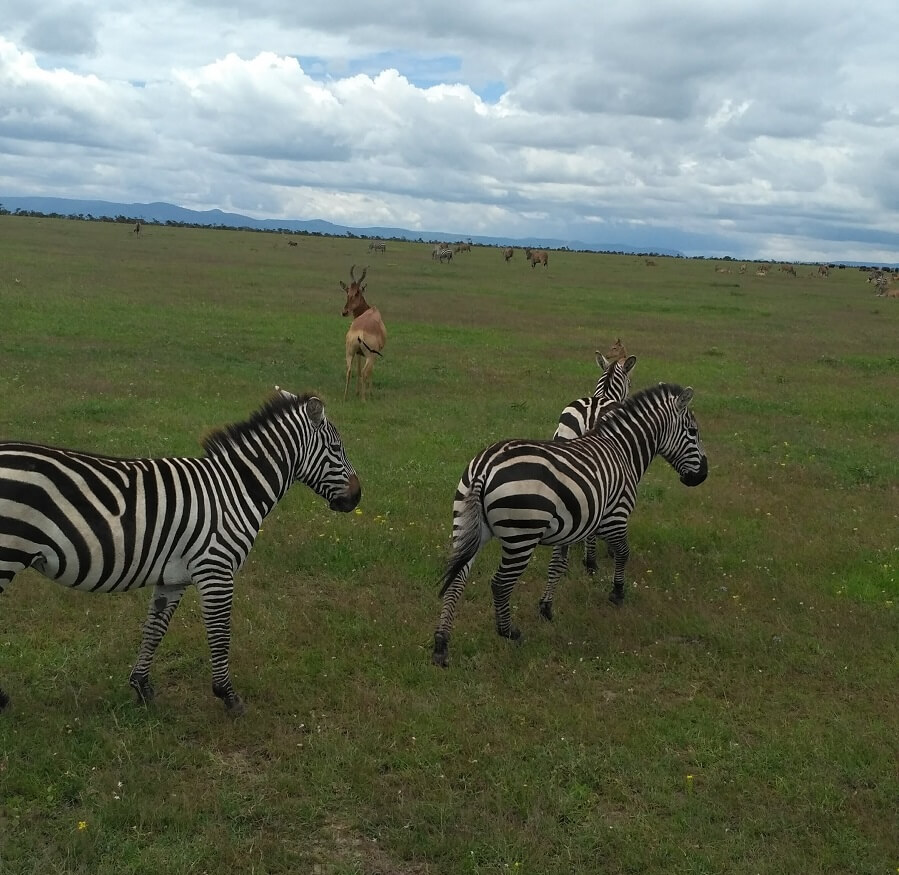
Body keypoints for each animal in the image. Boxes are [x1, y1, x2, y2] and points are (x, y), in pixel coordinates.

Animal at [0, 388, 358, 712]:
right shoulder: (216, 569)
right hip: (6, 557)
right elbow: (220, 633)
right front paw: (228, 696)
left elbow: (155, 629)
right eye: (337, 448)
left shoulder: (172, 578)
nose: (358, 497)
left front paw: (142, 687)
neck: (235, 488)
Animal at [340, 266, 384, 402]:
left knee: (349, 371)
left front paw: (357, 392)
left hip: (349, 352)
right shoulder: (375, 353)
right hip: (371, 355)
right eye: (348, 292)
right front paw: (369, 393)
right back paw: (364, 399)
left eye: (357, 292)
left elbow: (358, 369)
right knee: (366, 372)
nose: (344, 312)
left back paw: (345, 397)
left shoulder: (358, 353)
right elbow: (369, 372)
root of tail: (360, 332)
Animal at [432, 382, 708, 664]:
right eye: (693, 432)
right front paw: (617, 593)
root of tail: (484, 468)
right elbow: (623, 553)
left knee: (457, 580)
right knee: (500, 584)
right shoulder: (615, 516)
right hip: (521, 536)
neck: (623, 451)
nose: (702, 476)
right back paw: (510, 633)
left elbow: (557, 565)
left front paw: (546, 608)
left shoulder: (571, 525)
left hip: (467, 526)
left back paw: (441, 644)